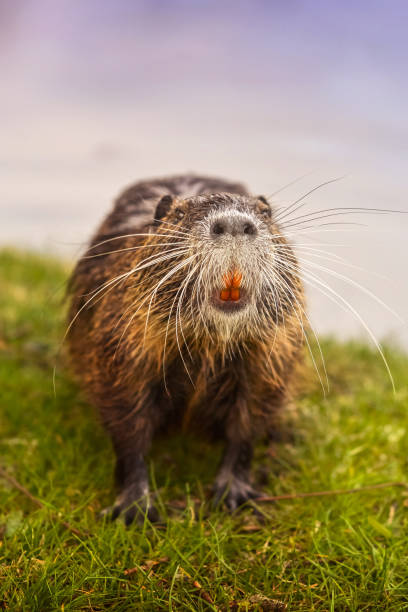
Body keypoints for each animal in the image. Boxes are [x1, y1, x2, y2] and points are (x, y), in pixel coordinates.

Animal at [67, 175, 302, 524]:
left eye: (265, 212)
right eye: (179, 215)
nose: (234, 224)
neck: (207, 346)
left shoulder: (269, 362)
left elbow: (247, 425)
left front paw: (235, 495)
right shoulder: (119, 353)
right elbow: (127, 426)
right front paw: (134, 509)